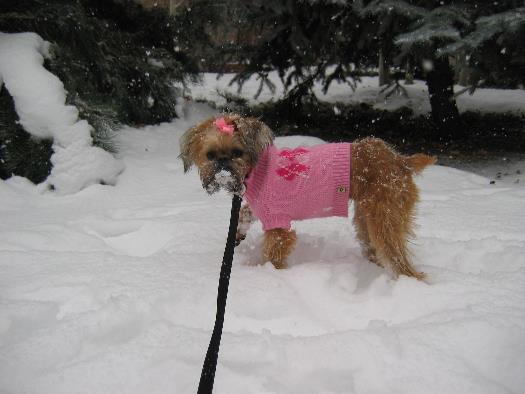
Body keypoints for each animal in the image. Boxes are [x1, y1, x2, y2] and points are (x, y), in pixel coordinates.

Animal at [180, 114, 434, 280]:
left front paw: (269, 274)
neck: (256, 171)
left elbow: (274, 252)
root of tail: (400, 161)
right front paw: (238, 232)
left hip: (385, 216)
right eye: (210, 155)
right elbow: (245, 213)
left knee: (398, 257)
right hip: (366, 217)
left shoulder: (278, 226)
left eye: (237, 153)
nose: (222, 165)